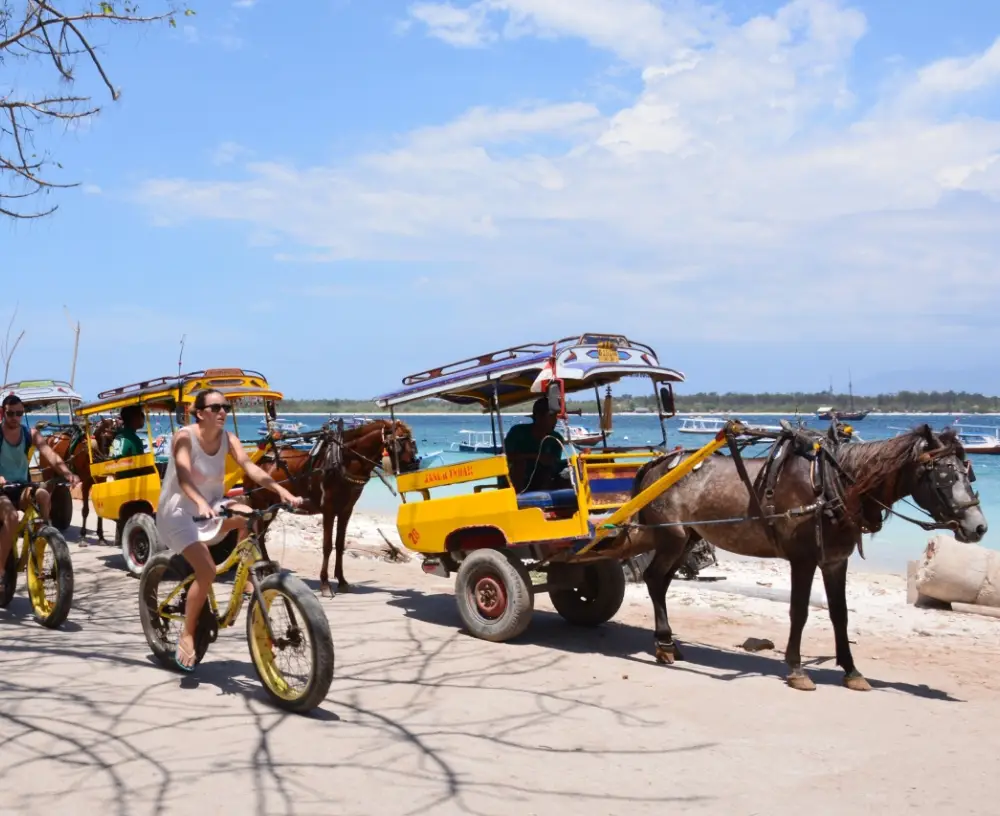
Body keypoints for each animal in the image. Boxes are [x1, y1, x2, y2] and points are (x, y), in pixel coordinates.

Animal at [244, 418, 420, 596]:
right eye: (399, 441)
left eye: (412, 441)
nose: (414, 464)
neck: (342, 462)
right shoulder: (328, 510)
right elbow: (327, 546)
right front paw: (325, 584)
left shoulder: (346, 510)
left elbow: (340, 545)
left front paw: (342, 581)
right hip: (260, 504)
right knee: (257, 536)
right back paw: (262, 569)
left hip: (271, 508)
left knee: (261, 535)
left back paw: (266, 568)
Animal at [616, 424, 984, 692]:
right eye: (944, 475)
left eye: (968, 473)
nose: (979, 526)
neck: (829, 485)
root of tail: (656, 463)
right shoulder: (803, 560)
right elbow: (800, 612)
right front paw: (795, 668)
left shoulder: (835, 561)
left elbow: (839, 615)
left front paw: (851, 670)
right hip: (672, 537)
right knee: (655, 580)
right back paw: (664, 645)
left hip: (686, 539)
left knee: (660, 582)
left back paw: (668, 643)